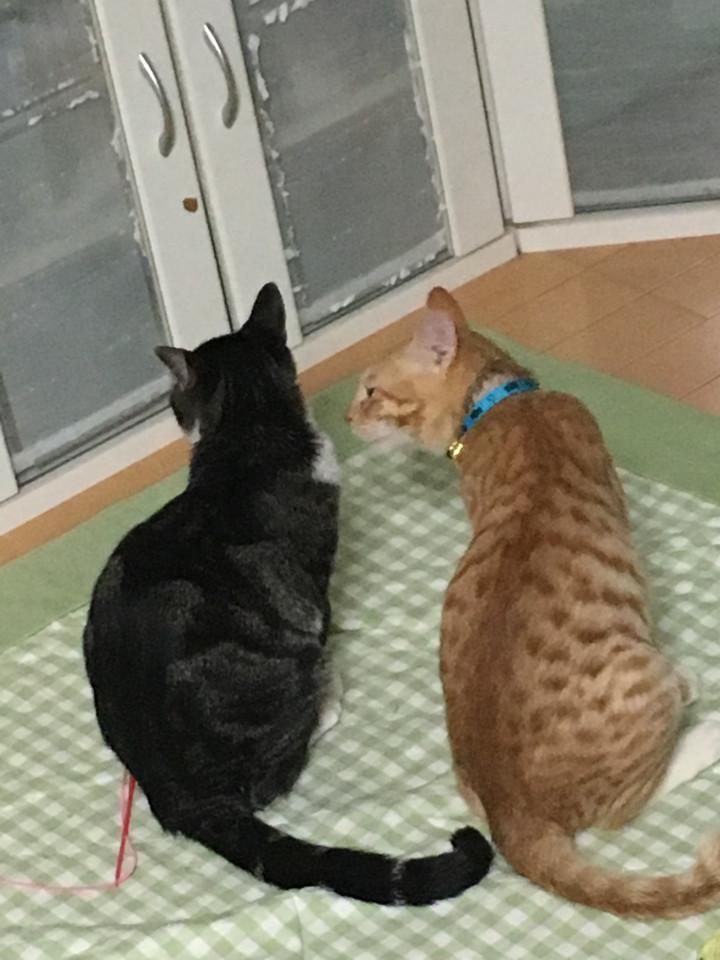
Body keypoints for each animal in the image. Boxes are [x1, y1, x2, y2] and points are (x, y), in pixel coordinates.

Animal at [83, 282, 492, 905]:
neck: (248, 432)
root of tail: (181, 795)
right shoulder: (314, 581)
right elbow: (326, 615)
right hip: (283, 670)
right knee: (275, 778)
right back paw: (326, 702)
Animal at [346, 285, 720, 917]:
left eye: (371, 390)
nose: (347, 418)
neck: (504, 402)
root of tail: (511, 815)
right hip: (641, 683)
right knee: (631, 803)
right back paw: (703, 720)